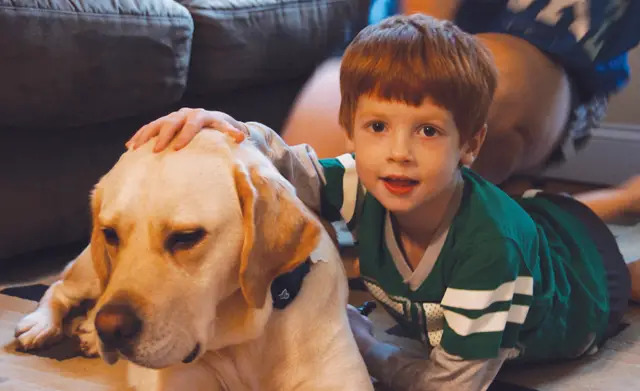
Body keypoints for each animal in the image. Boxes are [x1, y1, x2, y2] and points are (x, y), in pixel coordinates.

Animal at [13, 132, 370, 391]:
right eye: (111, 233)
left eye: (186, 237)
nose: (110, 330)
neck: (246, 339)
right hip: (91, 271)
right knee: (60, 287)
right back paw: (43, 324)